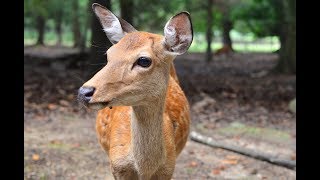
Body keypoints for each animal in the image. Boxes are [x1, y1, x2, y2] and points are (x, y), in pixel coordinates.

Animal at [77, 3, 192, 180]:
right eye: (109, 54)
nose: (84, 92)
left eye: (144, 60)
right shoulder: (117, 166)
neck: (145, 168)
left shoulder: (168, 168)